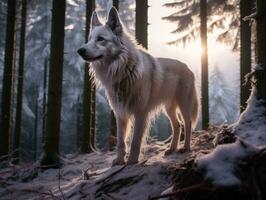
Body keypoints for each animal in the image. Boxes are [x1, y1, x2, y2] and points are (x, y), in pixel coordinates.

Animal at [78, 7, 198, 165]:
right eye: (89, 39)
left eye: (100, 39)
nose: (80, 50)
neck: (123, 73)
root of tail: (189, 68)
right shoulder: (120, 113)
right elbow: (121, 142)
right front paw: (119, 161)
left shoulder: (141, 112)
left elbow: (135, 141)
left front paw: (131, 162)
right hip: (168, 108)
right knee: (178, 125)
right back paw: (171, 149)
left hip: (183, 105)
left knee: (188, 124)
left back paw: (186, 148)